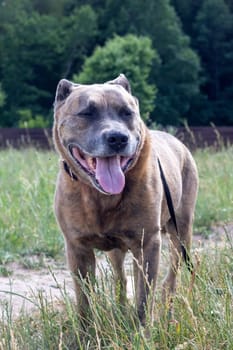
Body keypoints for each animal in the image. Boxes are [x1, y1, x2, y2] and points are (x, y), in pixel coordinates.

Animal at [52, 74, 198, 326]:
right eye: (86, 113)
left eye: (127, 113)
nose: (118, 138)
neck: (100, 196)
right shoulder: (77, 248)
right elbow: (84, 302)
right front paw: (86, 332)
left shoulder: (148, 243)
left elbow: (144, 299)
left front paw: (142, 331)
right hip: (117, 250)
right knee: (121, 277)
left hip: (181, 231)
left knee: (173, 272)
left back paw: (168, 306)